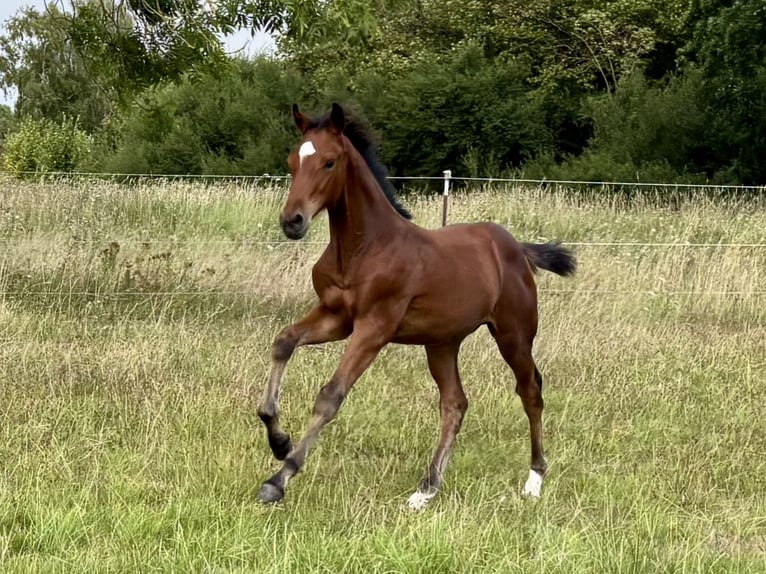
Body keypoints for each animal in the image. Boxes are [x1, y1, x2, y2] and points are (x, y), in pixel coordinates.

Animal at [256, 103, 576, 509]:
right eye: (292, 161)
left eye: (329, 162)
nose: (292, 222)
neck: (363, 248)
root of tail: (516, 248)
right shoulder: (336, 318)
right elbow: (283, 341)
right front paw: (279, 441)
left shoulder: (374, 327)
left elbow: (331, 395)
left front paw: (279, 477)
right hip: (442, 343)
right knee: (455, 403)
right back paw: (426, 489)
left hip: (514, 334)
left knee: (530, 391)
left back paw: (534, 479)